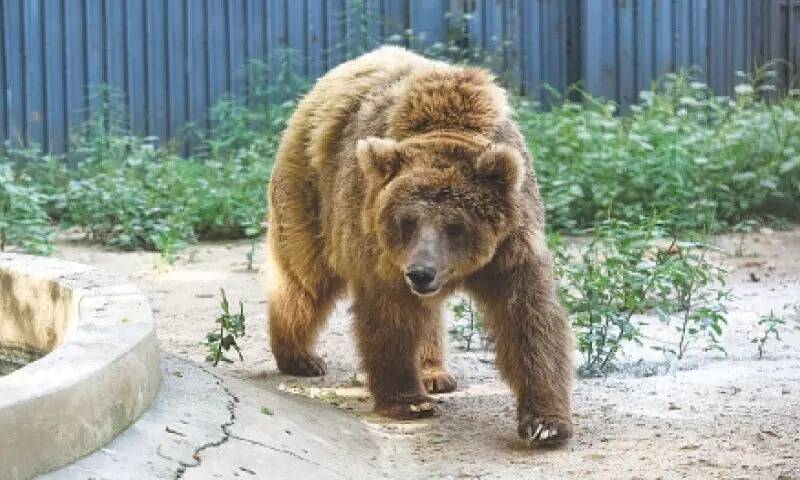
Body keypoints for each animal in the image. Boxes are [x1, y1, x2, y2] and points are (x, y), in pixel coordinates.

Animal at [266, 46, 574, 446]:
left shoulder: (512, 245)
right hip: (310, 191)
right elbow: (391, 315)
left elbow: (528, 319)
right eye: (407, 221)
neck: (448, 127)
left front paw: (545, 423)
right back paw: (299, 357)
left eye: (455, 226)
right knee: (303, 277)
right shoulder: (380, 249)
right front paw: (408, 401)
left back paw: (434, 373)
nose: (421, 273)